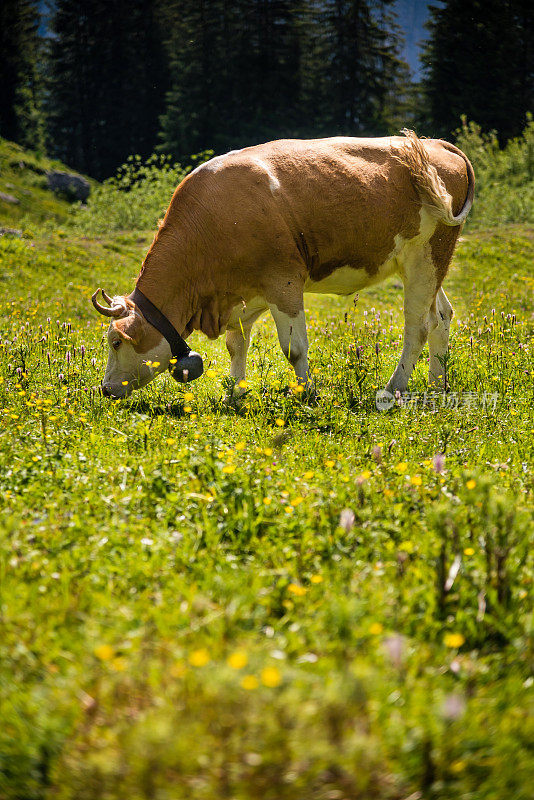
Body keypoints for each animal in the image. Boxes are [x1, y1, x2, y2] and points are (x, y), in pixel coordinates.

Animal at [93, 134, 478, 404]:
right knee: (441, 315)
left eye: (115, 341)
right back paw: (436, 387)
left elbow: (294, 349)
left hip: (425, 257)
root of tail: (435, 144)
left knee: (419, 326)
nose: (106, 389)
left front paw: (308, 394)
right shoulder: (244, 294)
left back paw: (392, 389)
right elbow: (236, 345)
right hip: (428, 261)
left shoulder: (284, 281)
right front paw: (234, 395)